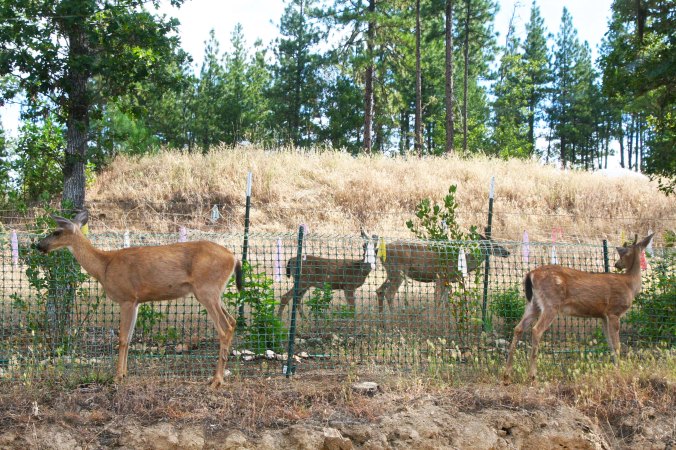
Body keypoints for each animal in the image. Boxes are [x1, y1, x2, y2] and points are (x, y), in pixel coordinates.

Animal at [35, 210, 242, 389]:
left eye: (56, 231)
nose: (37, 245)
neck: (104, 267)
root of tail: (234, 258)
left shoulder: (126, 297)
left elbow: (122, 338)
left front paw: (117, 376)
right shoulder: (135, 301)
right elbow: (129, 338)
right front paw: (124, 373)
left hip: (206, 289)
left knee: (225, 328)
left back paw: (216, 380)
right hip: (214, 292)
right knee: (233, 320)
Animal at [376, 235, 511, 312]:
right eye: (494, 245)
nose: (507, 252)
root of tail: (379, 250)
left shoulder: (447, 281)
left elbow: (446, 301)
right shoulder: (441, 276)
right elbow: (438, 300)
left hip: (391, 272)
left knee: (379, 290)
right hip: (398, 271)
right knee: (389, 293)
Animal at [503, 233, 654, 383]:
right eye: (622, 254)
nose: (617, 264)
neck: (630, 284)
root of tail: (530, 274)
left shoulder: (603, 316)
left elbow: (610, 343)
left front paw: (615, 367)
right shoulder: (614, 311)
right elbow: (616, 345)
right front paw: (620, 369)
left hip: (533, 304)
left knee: (518, 328)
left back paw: (507, 374)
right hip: (551, 304)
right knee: (536, 329)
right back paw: (532, 375)